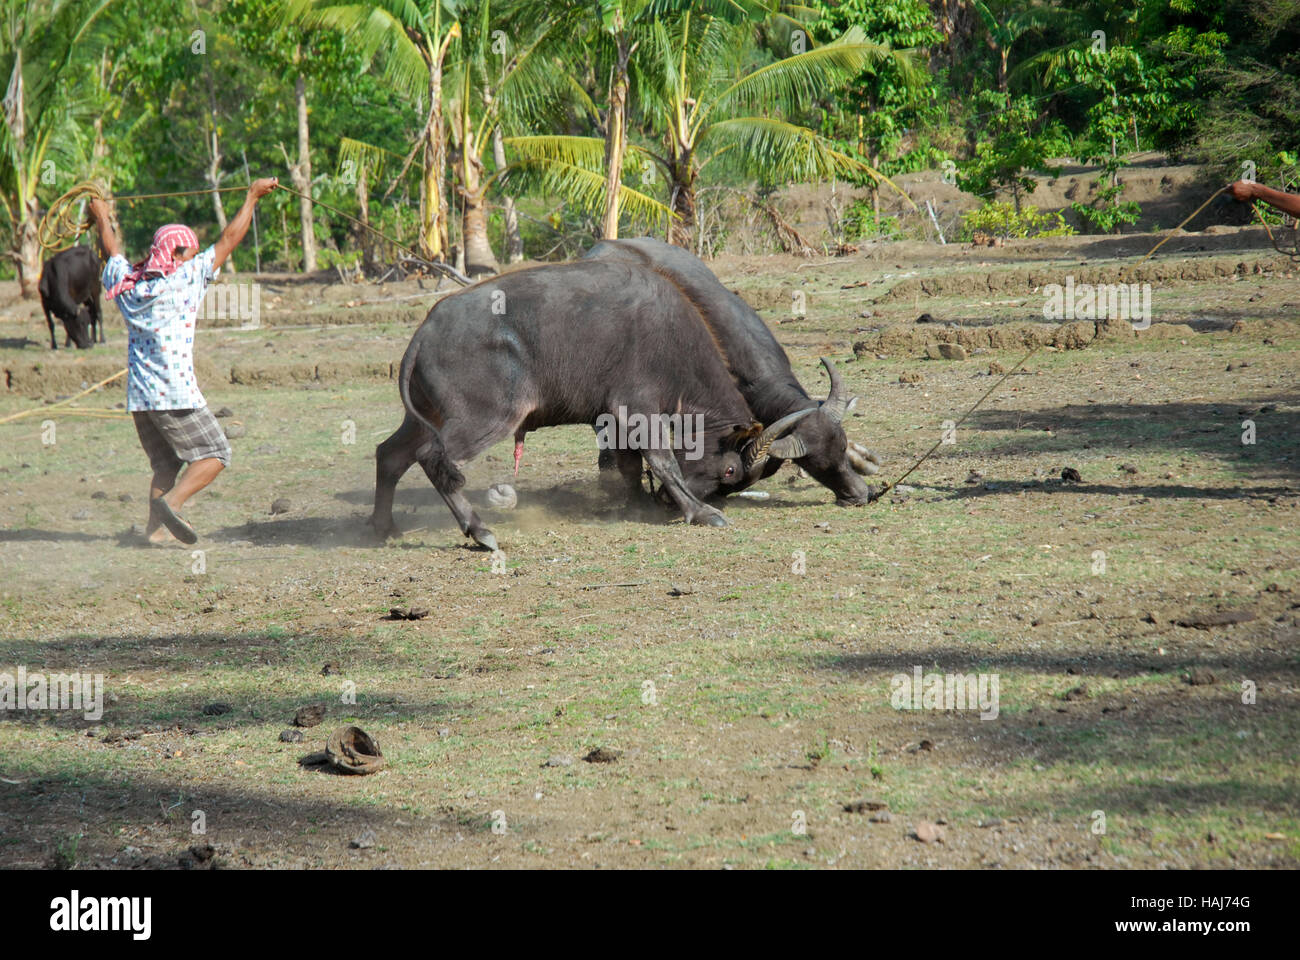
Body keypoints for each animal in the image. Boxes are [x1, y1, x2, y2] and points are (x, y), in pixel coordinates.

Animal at [369, 257, 811, 548]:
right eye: (731, 470)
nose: (668, 504)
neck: (673, 342)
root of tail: (426, 329)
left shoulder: (614, 419)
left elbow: (630, 465)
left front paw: (638, 505)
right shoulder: (638, 408)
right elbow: (662, 460)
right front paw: (700, 512)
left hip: (425, 418)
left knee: (390, 454)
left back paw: (383, 526)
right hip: (486, 418)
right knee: (432, 458)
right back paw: (480, 531)